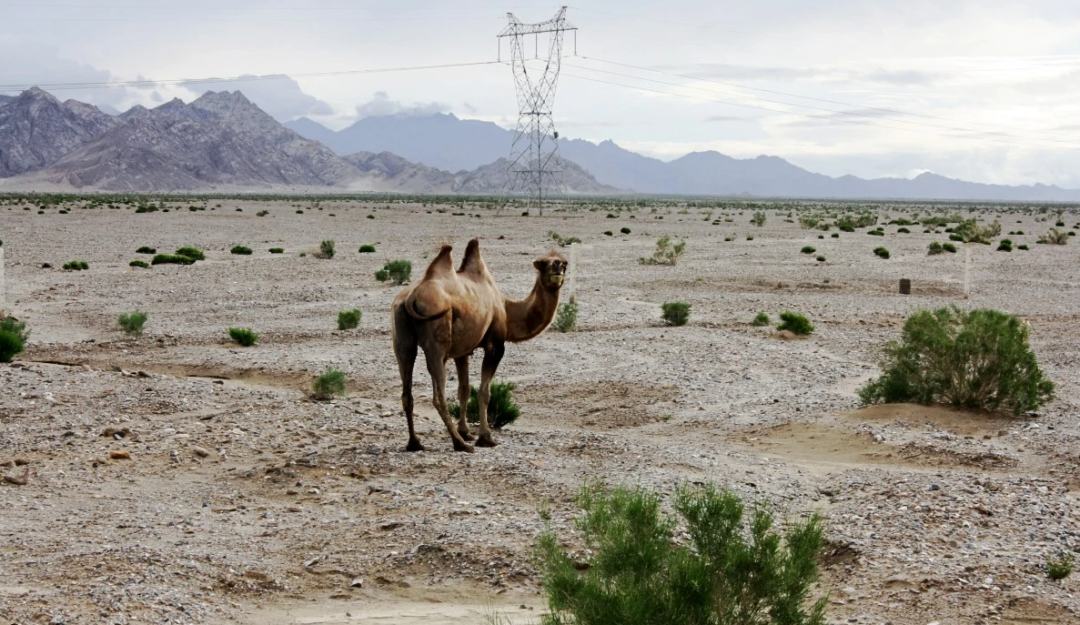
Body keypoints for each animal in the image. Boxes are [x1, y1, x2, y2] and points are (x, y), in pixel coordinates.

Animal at [393, 237, 570, 453]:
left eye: (564, 263)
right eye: (543, 263)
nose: (557, 267)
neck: (506, 309)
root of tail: (411, 297)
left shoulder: (463, 351)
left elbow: (464, 390)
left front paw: (466, 432)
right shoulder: (495, 345)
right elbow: (485, 392)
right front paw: (485, 438)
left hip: (401, 336)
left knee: (406, 388)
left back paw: (415, 443)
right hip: (437, 339)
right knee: (438, 395)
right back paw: (460, 445)